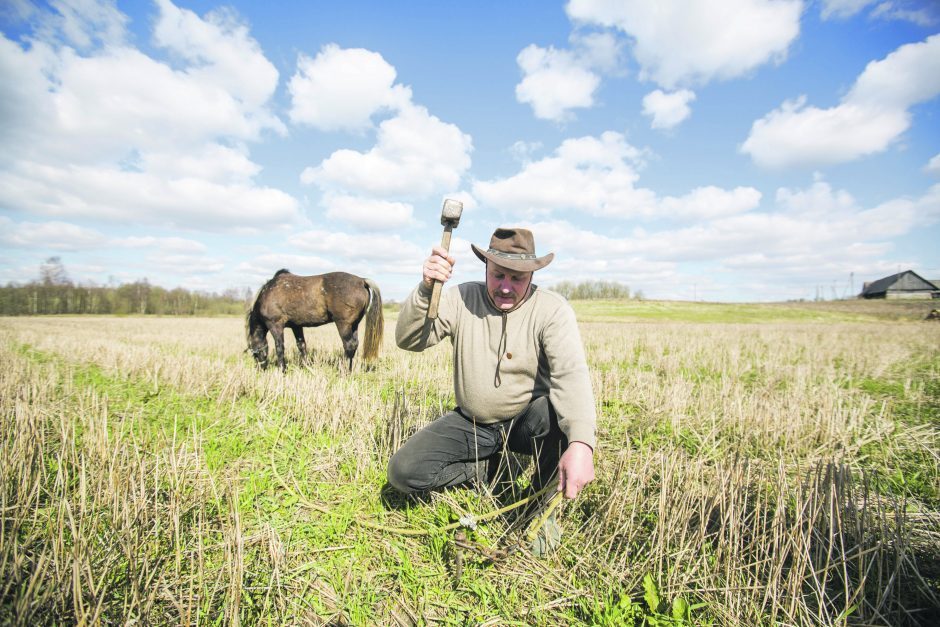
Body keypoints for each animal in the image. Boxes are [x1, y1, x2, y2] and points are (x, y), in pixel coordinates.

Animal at [248, 270, 388, 372]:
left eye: (255, 354)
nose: (261, 369)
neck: (268, 293)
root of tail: (361, 281)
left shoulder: (275, 325)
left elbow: (279, 348)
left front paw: (282, 370)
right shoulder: (296, 326)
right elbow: (301, 346)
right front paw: (306, 366)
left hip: (343, 324)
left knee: (349, 345)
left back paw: (343, 371)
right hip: (354, 325)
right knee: (354, 345)